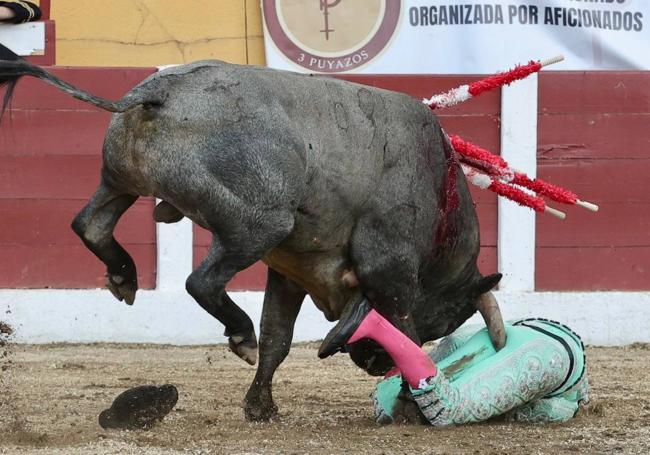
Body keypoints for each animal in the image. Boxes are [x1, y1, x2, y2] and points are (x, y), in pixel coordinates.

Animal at [1, 57, 502, 424]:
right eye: (442, 322)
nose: (373, 363)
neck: (441, 189)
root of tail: (158, 93)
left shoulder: (290, 273)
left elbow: (278, 337)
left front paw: (260, 408)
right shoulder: (391, 271)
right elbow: (406, 333)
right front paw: (412, 407)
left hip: (120, 181)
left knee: (91, 224)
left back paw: (124, 277)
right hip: (259, 226)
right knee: (201, 281)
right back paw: (239, 332)